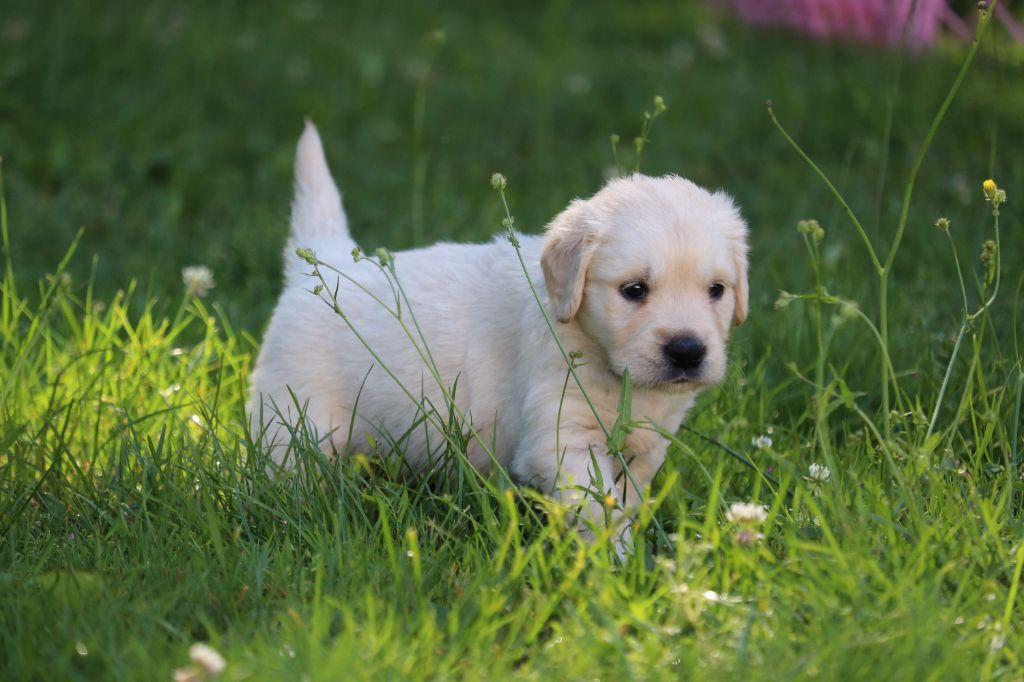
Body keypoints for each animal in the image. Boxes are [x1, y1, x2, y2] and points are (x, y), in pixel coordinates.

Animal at [247, 120, 745, 548]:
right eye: (634, 290)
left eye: (717, 290)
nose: (687, 350)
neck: (606, 363)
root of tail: (322, 264)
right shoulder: (559, 435)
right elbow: (596, 506)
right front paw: (614, 564)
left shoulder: (647, 444)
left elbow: (625, 500)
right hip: (293, 421)